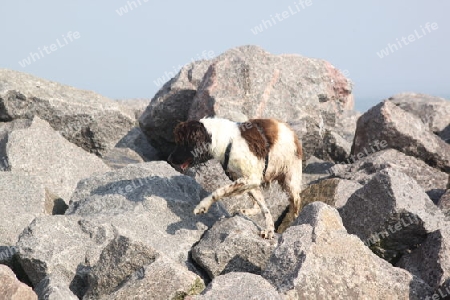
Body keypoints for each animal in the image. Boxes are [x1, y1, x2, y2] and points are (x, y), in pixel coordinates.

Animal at [166, 117, 302, 239]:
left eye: (181, 143)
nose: (169, 159)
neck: (223, 140)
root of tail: (290, 129)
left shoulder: (251, 178)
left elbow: (219, 191)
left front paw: (202, 206)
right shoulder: (246, 179)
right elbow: (264, 209)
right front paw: (269, 230)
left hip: (290, 182)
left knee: (296, 204)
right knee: (260, 206)